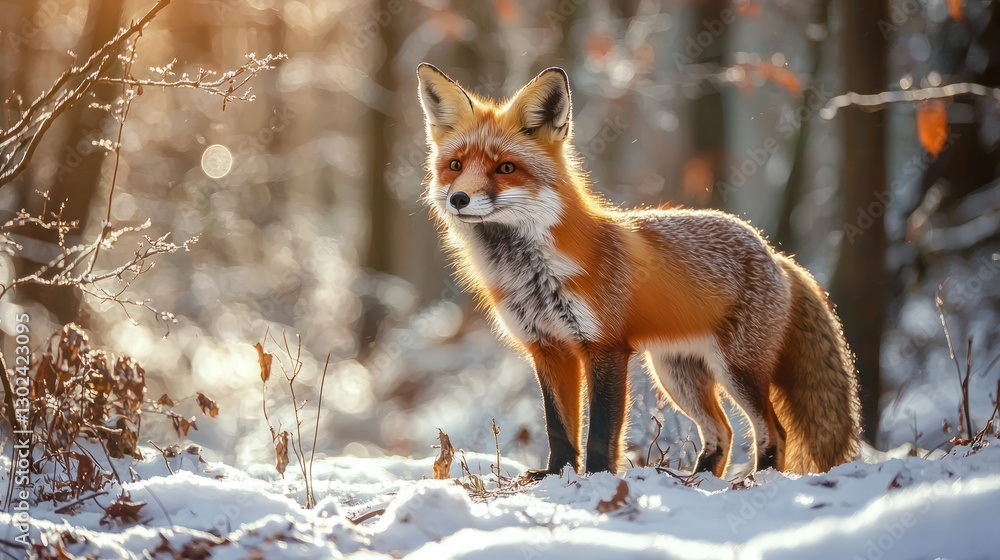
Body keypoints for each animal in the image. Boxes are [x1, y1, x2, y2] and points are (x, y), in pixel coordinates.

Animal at [416, 63, 861, 478]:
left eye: (505, 168)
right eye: (455, 165)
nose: (458, 199)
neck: (532, 274)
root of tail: (775, 253)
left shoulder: (606, 346)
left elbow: (601, 430)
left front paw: (596, 478)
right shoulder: (547, 348)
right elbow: (558, 426)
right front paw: (556, 475)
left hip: (737, 370)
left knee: (773, 431)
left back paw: (754, 479)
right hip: (677, 374)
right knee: (722, 432)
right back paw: (697, 480)